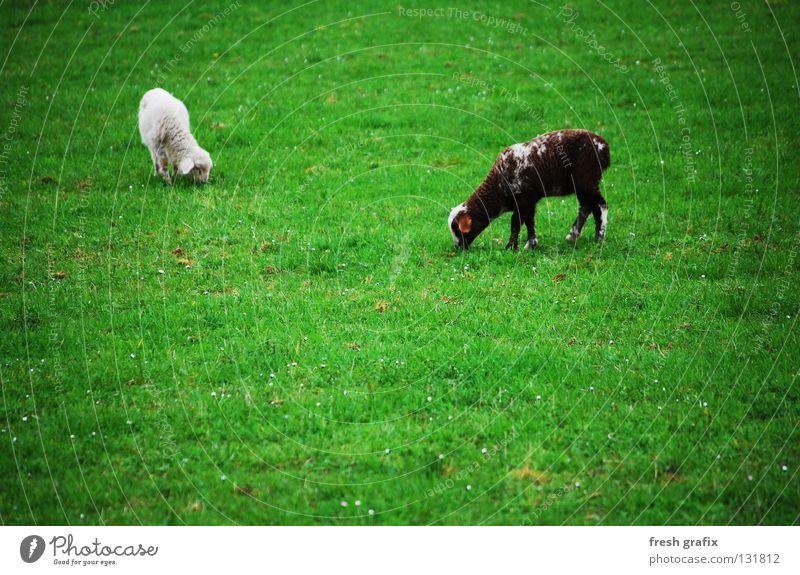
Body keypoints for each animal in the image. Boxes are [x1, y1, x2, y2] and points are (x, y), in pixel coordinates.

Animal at [446, 130, 608, 250]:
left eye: (457, 229)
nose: (459, 247)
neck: (497, 189)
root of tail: (604, 146)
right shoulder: (530, 200)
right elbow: (530, 221)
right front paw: (531, 244)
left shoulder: (523, 198)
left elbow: (516, 223)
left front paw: (510, 248)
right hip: (583, 185)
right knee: (587, 207)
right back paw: (574, 236)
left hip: (586, 181)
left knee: (601, 205)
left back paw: (599, 238)